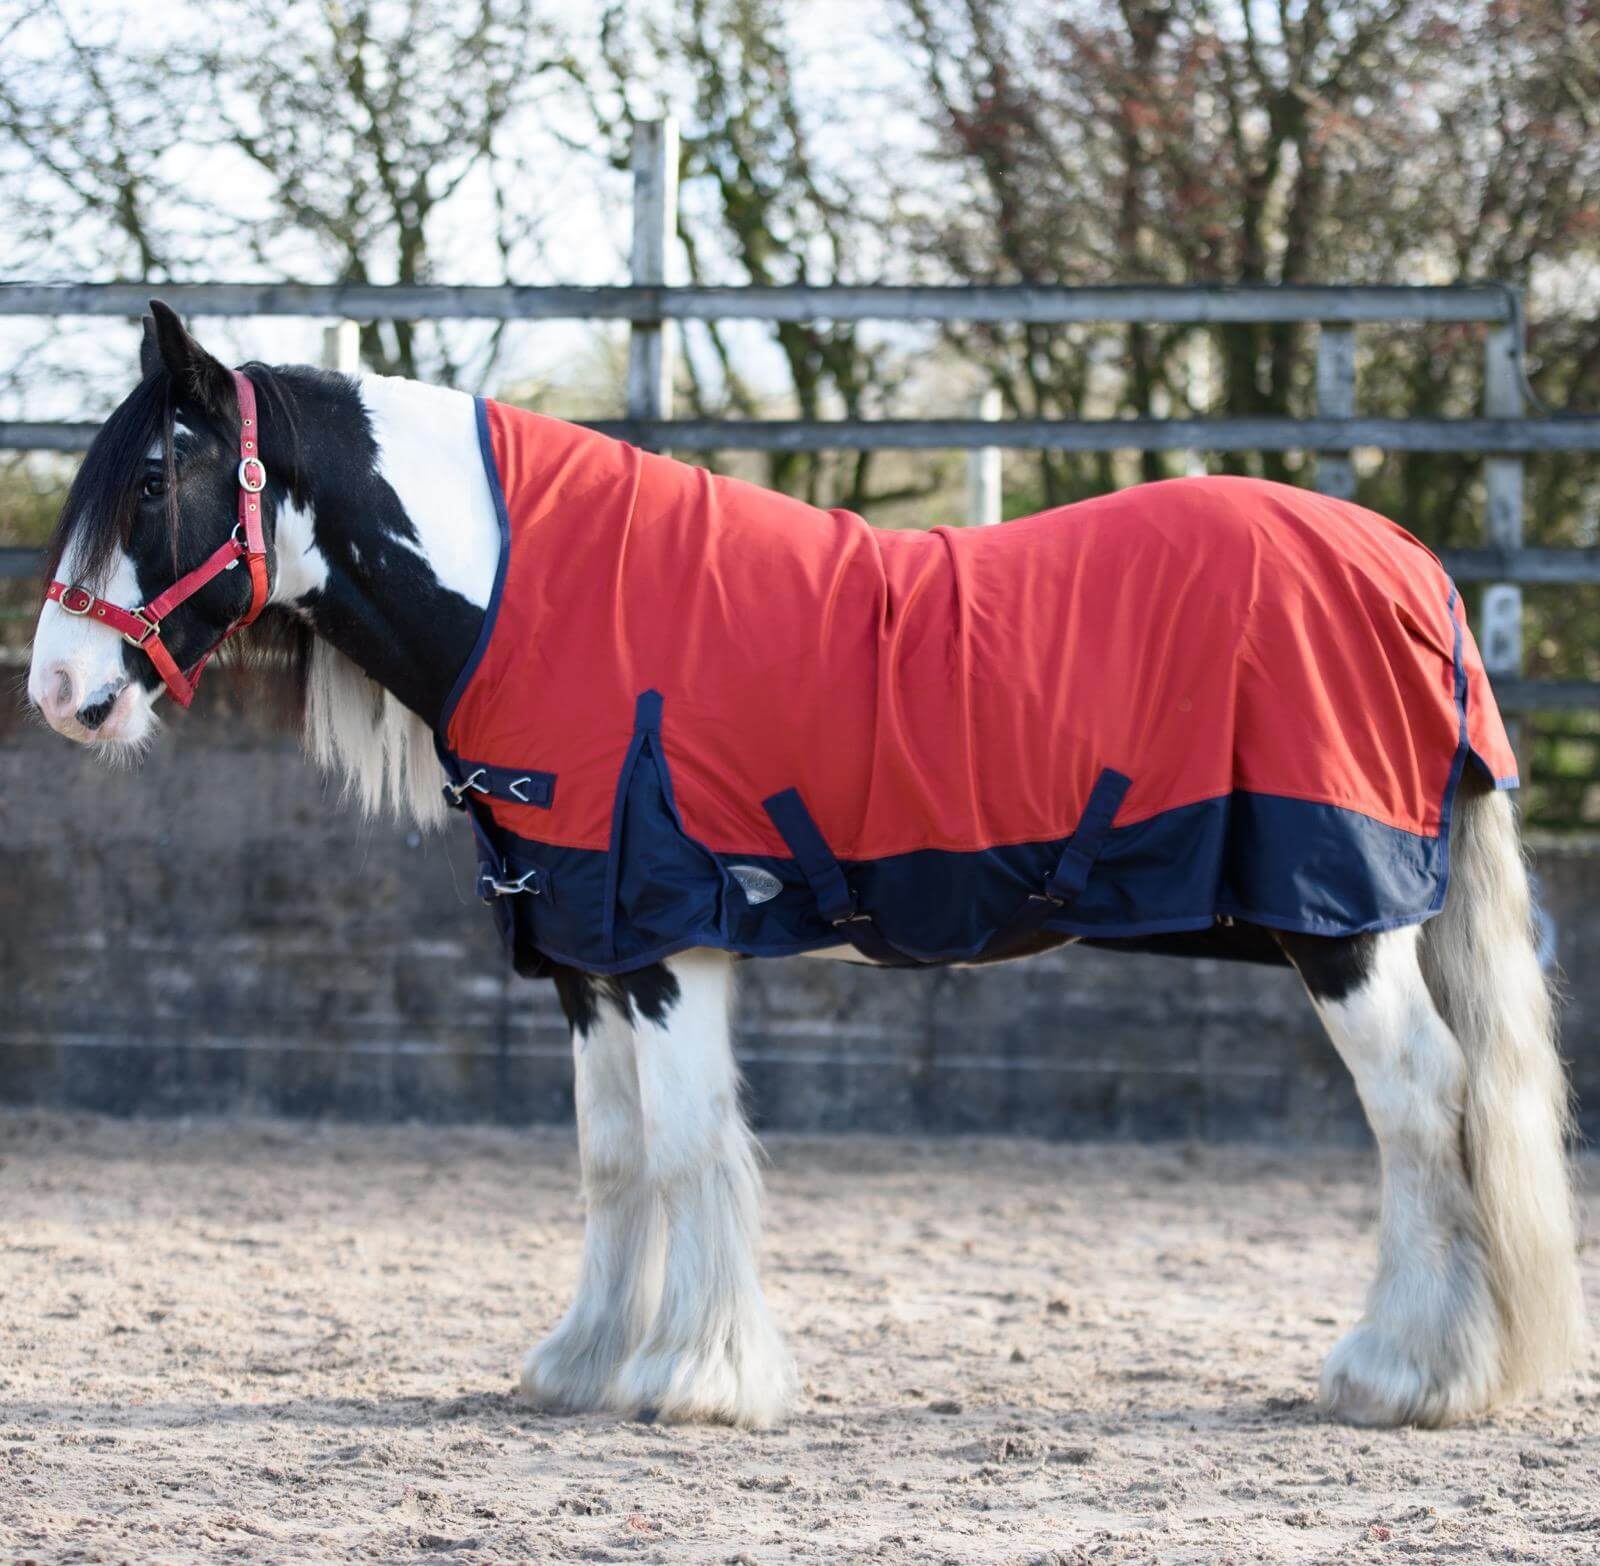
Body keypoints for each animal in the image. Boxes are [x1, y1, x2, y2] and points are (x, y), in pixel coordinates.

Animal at [28, 297, 1587, 1433]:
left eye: (153, 475)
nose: (56, 689)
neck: (529, 594)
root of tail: (1413, 571)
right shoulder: (588, 954)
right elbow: (613, 1154)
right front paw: (583, 1364)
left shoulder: (669, 941)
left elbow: (688, 1141)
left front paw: (695, 1378)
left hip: (1344, 931)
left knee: (1420, 1104)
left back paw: (1404, 1375)